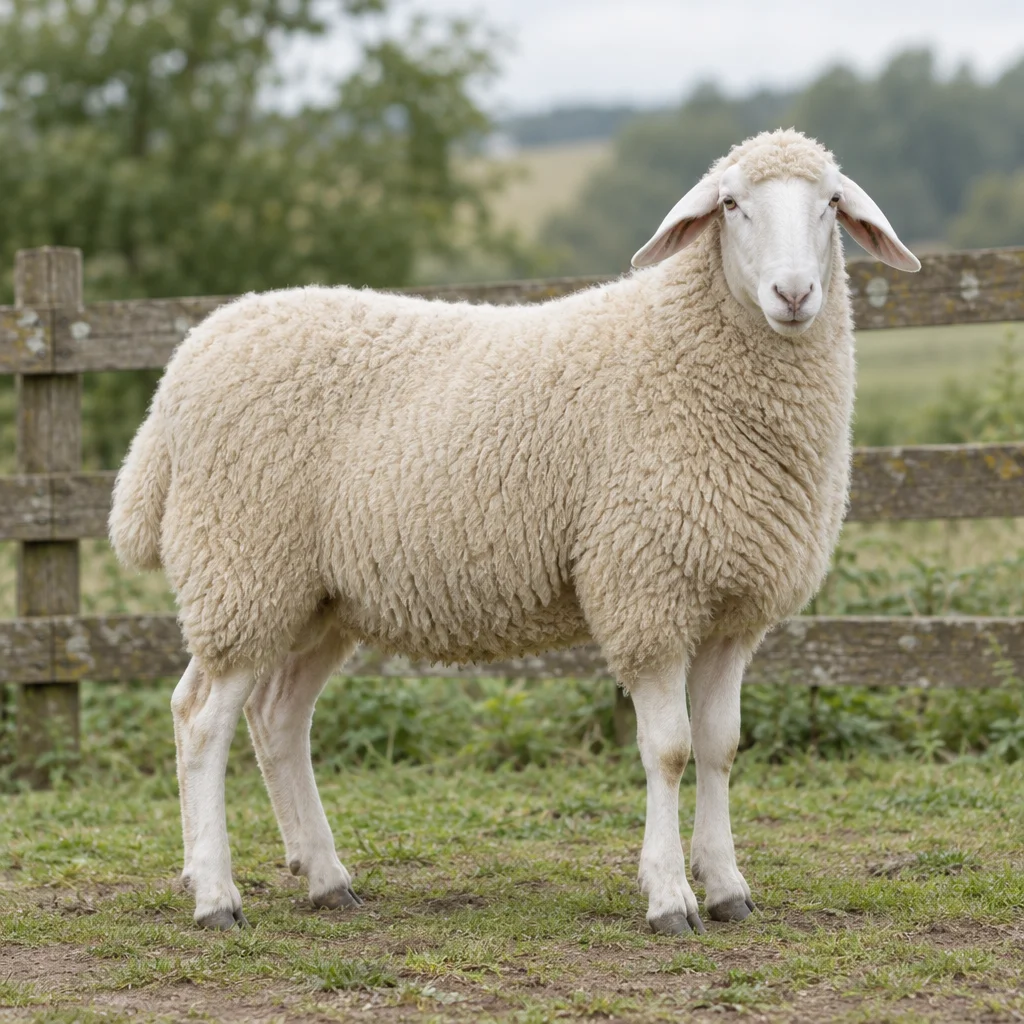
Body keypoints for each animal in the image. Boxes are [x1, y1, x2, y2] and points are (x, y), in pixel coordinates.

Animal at [110, 128, 920, 934]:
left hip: (315, 596)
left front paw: (726, 887)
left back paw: (324, 878)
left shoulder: (731, 605)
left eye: (832, 204)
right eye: (730, 204)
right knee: (200, 720)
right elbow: (668, 750)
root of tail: (182, 366)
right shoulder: (646, 590)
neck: (684, 353)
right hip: (242, 565)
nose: (794, 294)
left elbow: (719, 748)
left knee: (276, 718)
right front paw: (668, 896)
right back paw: (216, 895)